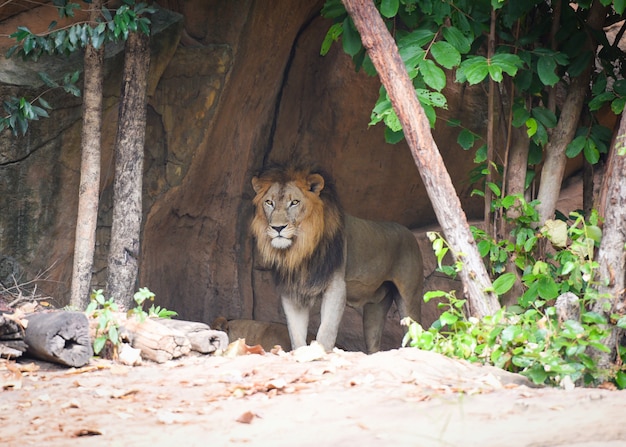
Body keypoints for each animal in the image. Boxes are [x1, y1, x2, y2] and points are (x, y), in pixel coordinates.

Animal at [250, 164, 424, 354]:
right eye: (269, 202)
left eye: (294, 202)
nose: (278, 228)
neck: (300, 250)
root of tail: (408, 232)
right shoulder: (291, 292)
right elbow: (296, 336)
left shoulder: (336, 286)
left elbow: (326, 331)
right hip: (375, 307)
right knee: (374, 344)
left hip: (409, 298)